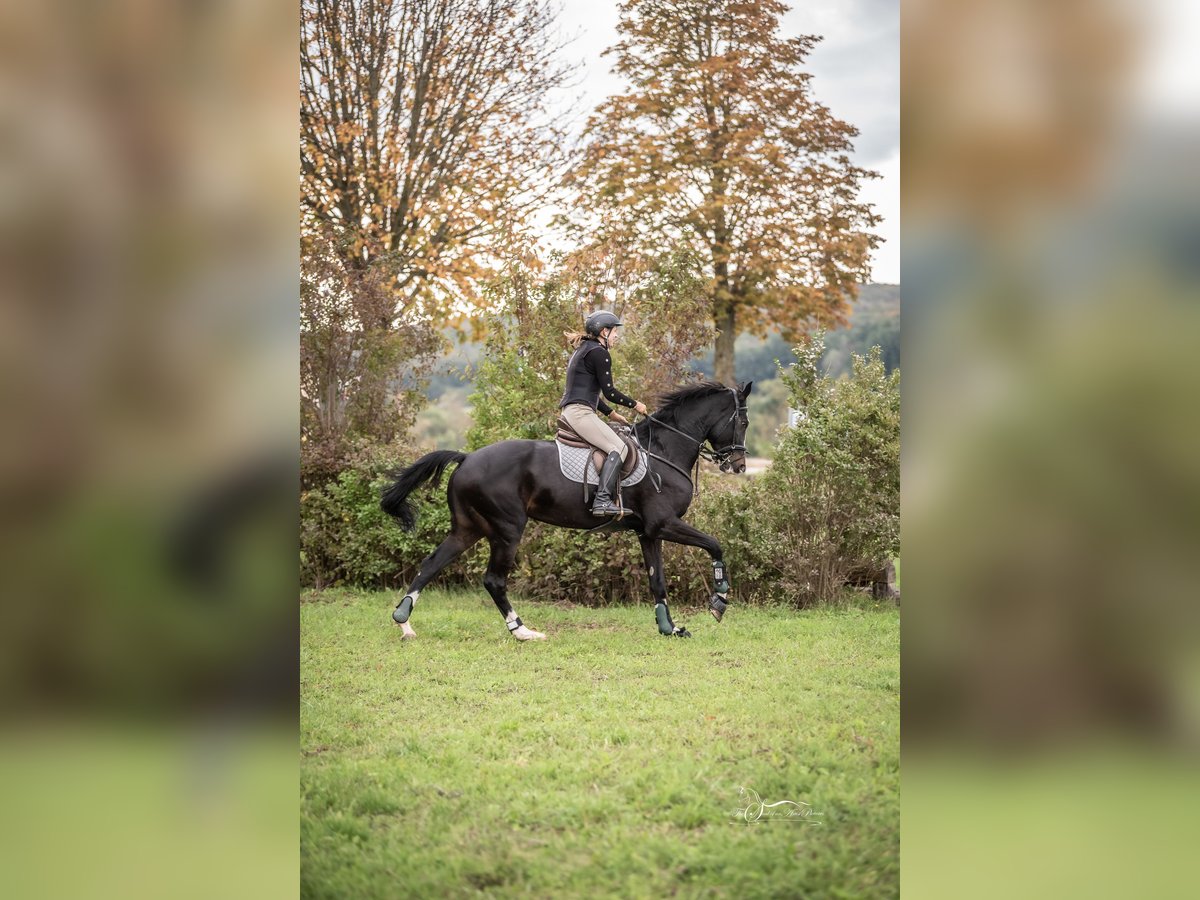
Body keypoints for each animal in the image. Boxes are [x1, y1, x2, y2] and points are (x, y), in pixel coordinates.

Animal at [376, 381, 748, 643]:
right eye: (742, 421)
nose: (739, 466)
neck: (663, 451)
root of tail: (466, 458)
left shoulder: (648, 532)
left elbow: (657, 580)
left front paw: (670, 628)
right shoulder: (665, 524)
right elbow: (715, 544)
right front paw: (719, 600)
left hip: (468, 529)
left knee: (431, 564)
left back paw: (404, 623)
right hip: (507, 529)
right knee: (494, 580)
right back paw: (522, 631)